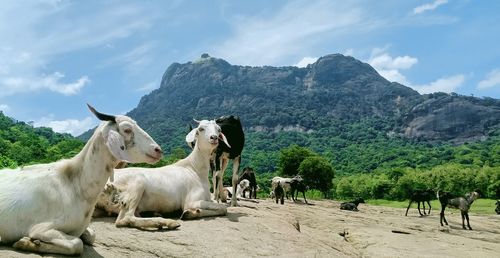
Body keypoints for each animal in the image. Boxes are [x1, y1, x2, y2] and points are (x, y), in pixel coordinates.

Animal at [0, 105, 164, 256]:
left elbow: (91, 236)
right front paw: (26, 242)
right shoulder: (41, 228)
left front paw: (32, 243)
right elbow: (77, 244)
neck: (75, 185)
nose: (158, 150)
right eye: (127, 130)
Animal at [96, 119, 230, 224]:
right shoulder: (192, 200)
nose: (214, 138)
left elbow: (221, 208)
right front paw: (189, 213)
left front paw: (193, 212)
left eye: (218, 129)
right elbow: (223, 208)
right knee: (125, 219)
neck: (194, 169)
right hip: (136, 184)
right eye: (201, 129)